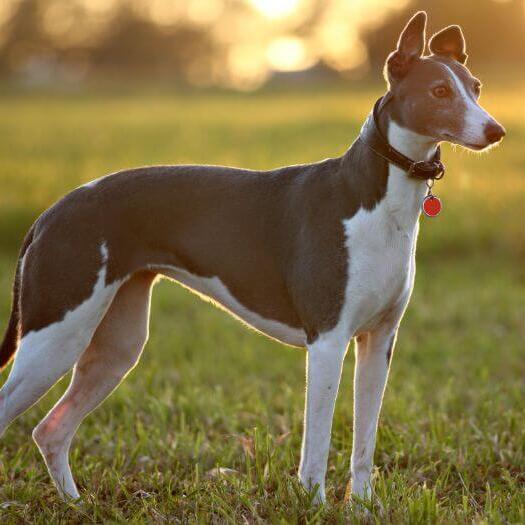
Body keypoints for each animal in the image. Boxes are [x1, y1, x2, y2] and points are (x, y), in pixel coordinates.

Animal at [0, 12, 504, 502]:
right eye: (439, 91)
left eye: (476, 87)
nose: (496, 131)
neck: (373, 196)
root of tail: (50, 213)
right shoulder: (327, 341)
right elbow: (317, 444)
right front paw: (314, 506)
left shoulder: (378, 342)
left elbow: (364, 443)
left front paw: (363, 509)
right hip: (56, 334)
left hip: (114, 345)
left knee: (51, 429)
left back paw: (75, 503)